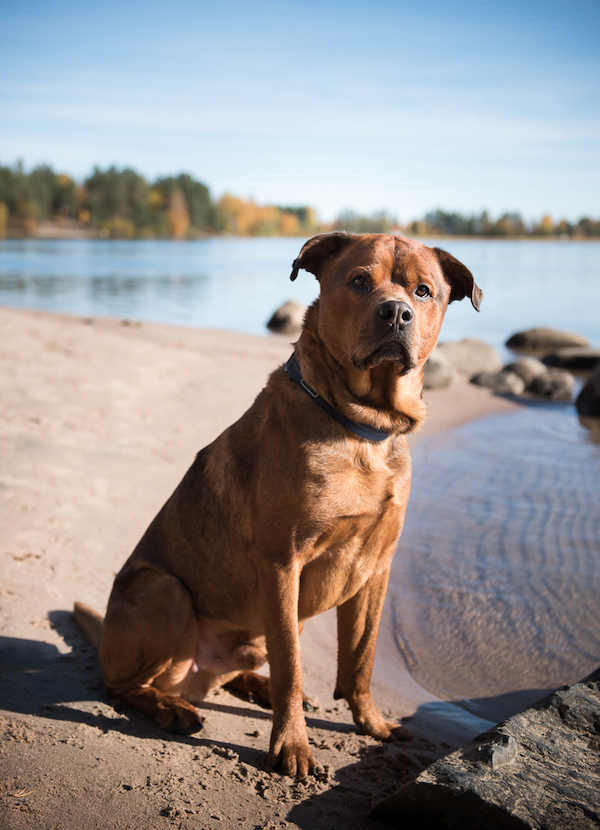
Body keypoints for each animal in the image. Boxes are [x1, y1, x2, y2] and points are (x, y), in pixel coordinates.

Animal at [72, 234, 480, 780]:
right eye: (359, 282)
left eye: (423, 291)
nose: (396, 312)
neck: (361, 428)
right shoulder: (283, 564)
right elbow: (292, 664)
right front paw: (291, 745)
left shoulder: (377, 569)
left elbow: (362, 658)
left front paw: (372, 723)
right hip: (165, 590)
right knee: (124, 685)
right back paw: (170, 707)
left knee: (228, 675)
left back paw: (252, 686)